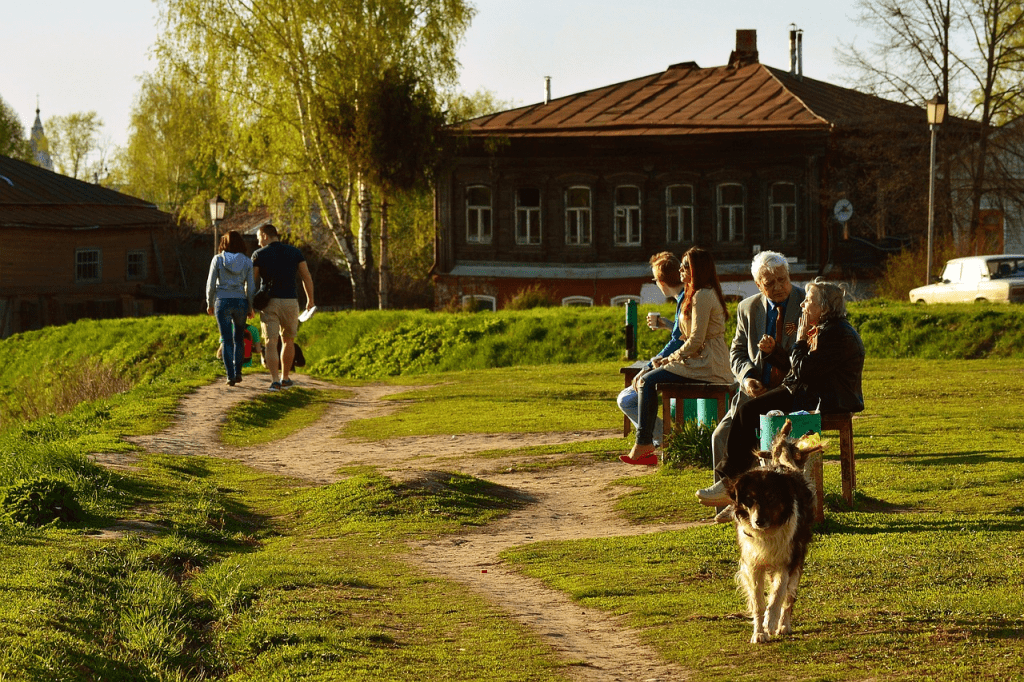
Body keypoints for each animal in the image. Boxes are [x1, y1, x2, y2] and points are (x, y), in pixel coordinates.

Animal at [720, 417, 823, 638]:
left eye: (772, 498)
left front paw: (771, 622)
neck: (768, 532)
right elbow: (758, 602)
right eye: (749, 500)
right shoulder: (753, 563)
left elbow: (777, 595)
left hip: (798, 557)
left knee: (789, 597)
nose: (758, 521)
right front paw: (759, 632)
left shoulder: (787, 560)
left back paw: (784, 625)